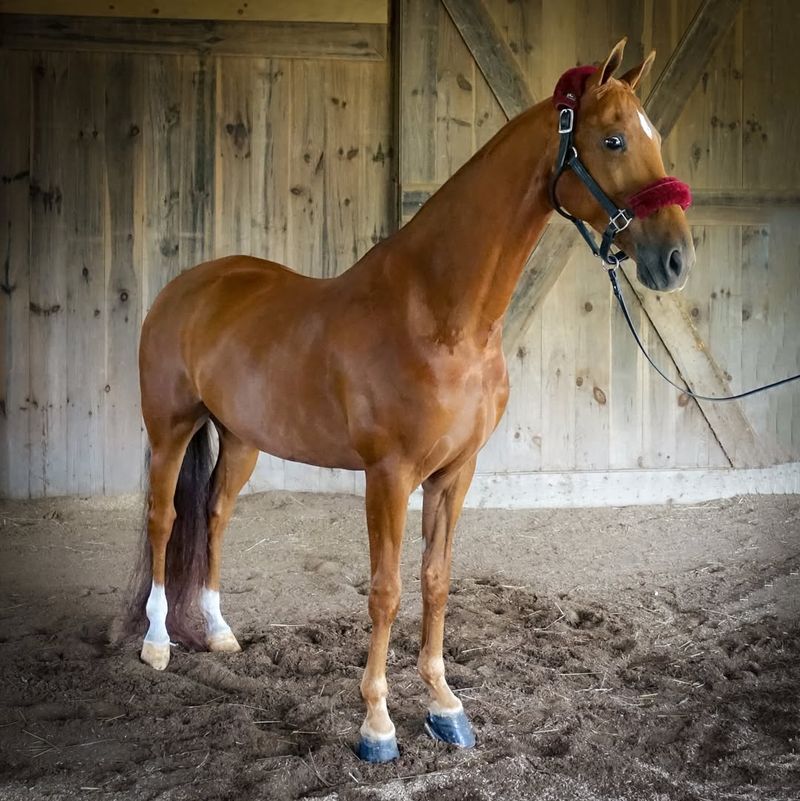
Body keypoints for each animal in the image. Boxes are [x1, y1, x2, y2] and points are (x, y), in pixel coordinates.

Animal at [131, 42, 692, 764]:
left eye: (654, 138)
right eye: (614, 139)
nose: (675, 258)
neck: (442, 318)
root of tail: (190, 285)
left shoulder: (455, 472)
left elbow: (435, 581)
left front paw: (445, 706)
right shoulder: (389, 475)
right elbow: (387, 590)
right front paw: (377, 723)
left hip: (243, 438)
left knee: (215, 515)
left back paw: (221, 630)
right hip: (170, 428)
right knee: (164, 518)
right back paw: (156, 642)